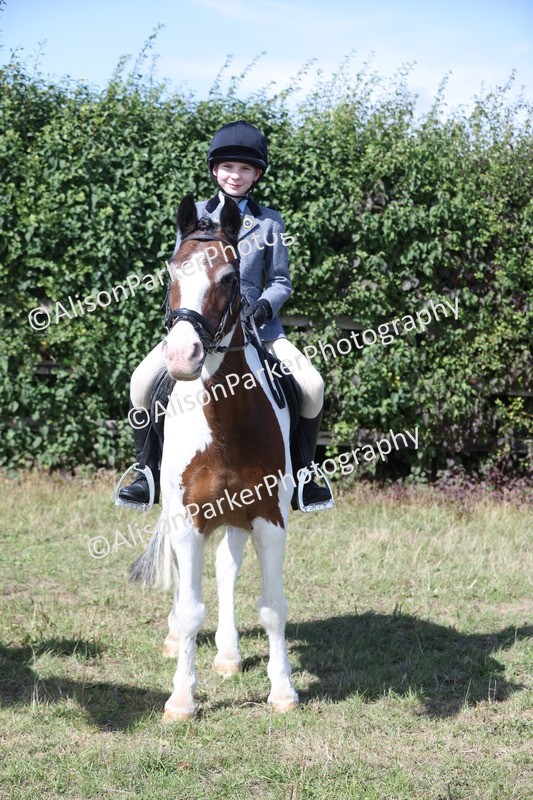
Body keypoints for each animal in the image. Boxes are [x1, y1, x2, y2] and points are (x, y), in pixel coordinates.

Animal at [129, 193, 299, 720]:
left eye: (228, 278)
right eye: (170, 272)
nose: (182, 355)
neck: (224, 425)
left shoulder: (268, 517)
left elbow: (272, 605)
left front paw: (282, 691)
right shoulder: (187, 518)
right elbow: (189, 608)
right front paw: (182, 699)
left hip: (235, 516)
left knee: (226, 568)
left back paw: (228, 653)